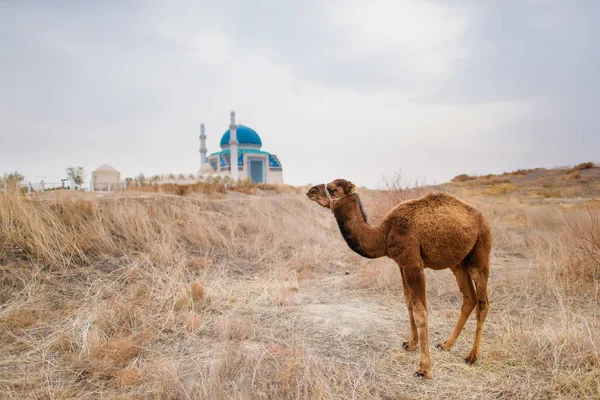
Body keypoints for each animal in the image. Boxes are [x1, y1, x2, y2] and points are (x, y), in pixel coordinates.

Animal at [308, 178, 490, 378]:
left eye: (332, 189)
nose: (311, 190)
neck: (384, 234)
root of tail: (482, 218)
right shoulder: (401, 264)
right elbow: (408, 303)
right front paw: (410, 344)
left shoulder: (413, 264)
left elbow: (420, 312)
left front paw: (423, 369)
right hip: (459, 264)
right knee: (469, 298)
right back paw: (446, 344)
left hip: (480, 254)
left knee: (483, 303)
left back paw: (471, 356)